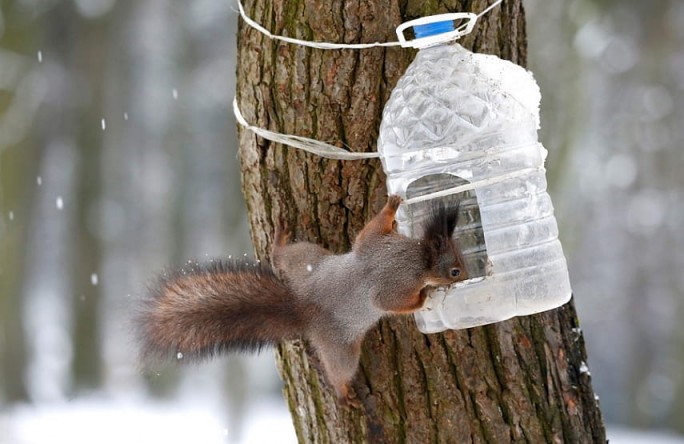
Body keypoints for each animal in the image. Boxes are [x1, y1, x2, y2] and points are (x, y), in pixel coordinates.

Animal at [135, 194, 464, 406]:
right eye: (455, 270)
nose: (468, 274)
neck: (418, 256)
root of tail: (305, 308)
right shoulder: (394, 282)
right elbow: (390, 302)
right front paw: (424, 297)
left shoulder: (375, 243)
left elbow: (368, 232)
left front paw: (392, 209)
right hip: (340, 348)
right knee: (338, 371)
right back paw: (344, 393)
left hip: (307, 260)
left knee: (281, 257)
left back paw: (278, 241)